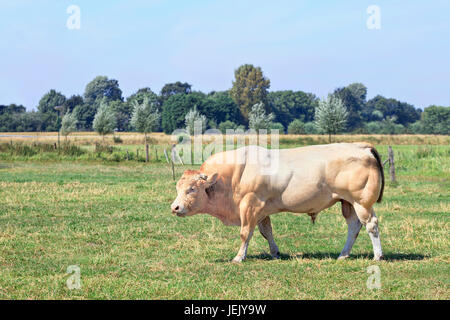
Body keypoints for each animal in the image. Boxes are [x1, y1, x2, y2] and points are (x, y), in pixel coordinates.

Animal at [171, 143, 384, 262]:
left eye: (191, 189)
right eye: (178, 188)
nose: (174, 207)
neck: (232, 176)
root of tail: (361, 147)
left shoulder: (250, 205)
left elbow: (245, 233)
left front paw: (239, 257)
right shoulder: (262, 210)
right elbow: (266, 232)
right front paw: (275, 253)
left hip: (361, 202)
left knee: (371, 225)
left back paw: (377, 255)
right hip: (347, 202)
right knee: (353, 226)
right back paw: (343, 254)